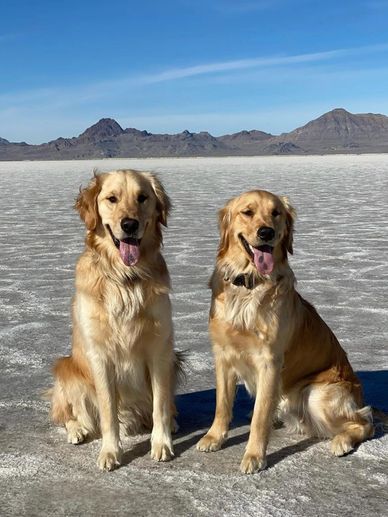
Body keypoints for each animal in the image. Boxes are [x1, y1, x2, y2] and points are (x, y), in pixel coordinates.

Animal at [49, 170, 180, 472]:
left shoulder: (160, 350)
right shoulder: (100, 356)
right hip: (66, 370)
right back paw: (77, 430)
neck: (125, 279)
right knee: (67, 414)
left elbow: (160, 405)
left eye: (142, 197)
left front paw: (161, 443)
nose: (129, 224)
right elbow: (108, 411)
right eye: (112, 198)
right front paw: (110, 452)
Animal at [199, 188, 374, 472]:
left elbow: (260, 418)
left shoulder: (270, 361)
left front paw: (254, 456)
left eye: (276, 213)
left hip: (316, 394)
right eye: (247, 212)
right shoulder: (223, 355)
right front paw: (214, 437)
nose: (266, 232)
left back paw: (342, 441)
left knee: (365, 422)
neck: (249, 284)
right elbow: (222, 405)